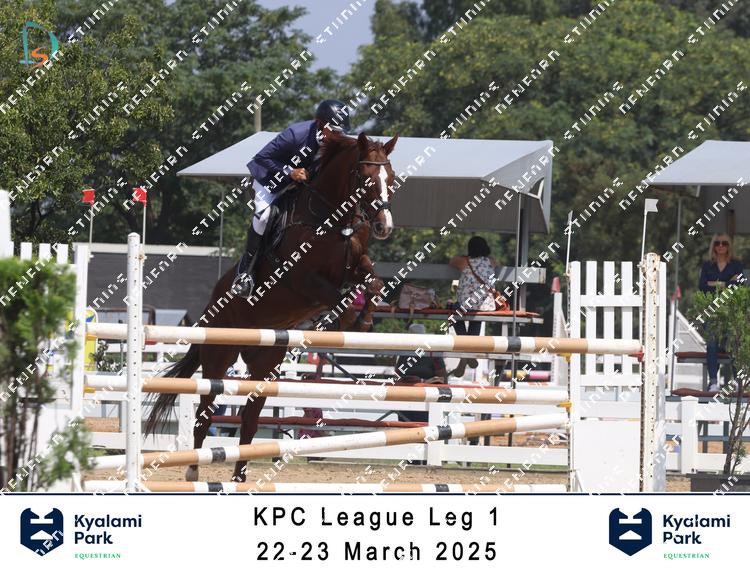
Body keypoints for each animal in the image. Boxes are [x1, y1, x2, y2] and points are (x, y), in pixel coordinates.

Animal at [145, 132, 398, 482]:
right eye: (364, 177)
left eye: (391, 177)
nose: (384, 227)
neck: (334, 221)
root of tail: (210, 305)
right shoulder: (304, 280)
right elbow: (341, 299)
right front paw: (344, 322)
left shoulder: (356, 265)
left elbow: (372, 282)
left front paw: (365, 319)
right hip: (218, 356)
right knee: (205, 412)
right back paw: (194, 470)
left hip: (265, 363)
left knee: (250, 419)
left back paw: (239, 476)